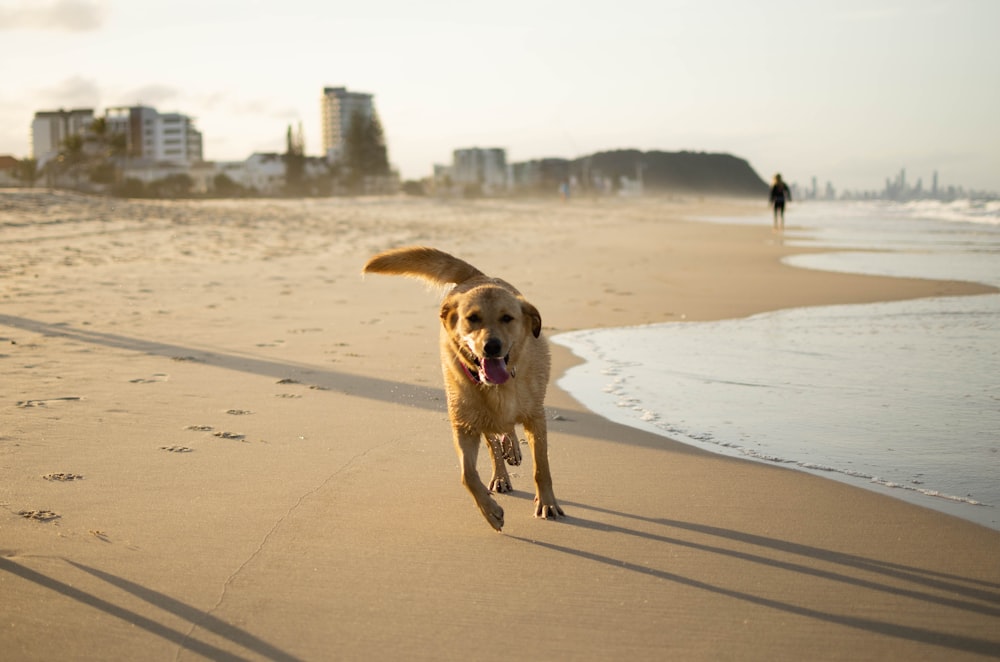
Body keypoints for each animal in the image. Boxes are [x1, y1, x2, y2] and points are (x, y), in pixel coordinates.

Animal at [364, 246, 564, 532]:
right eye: (473, 318)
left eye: (507, 318)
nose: (491, 346)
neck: (496, 387)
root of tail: (478, 276)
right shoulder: (465, 426)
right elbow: (467, 474)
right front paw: (490, 512)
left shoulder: (536, 418)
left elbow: (542, 468)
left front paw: (547, 504)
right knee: (493, 441)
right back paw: (501, 472)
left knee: (506, 432)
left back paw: (512, 448)